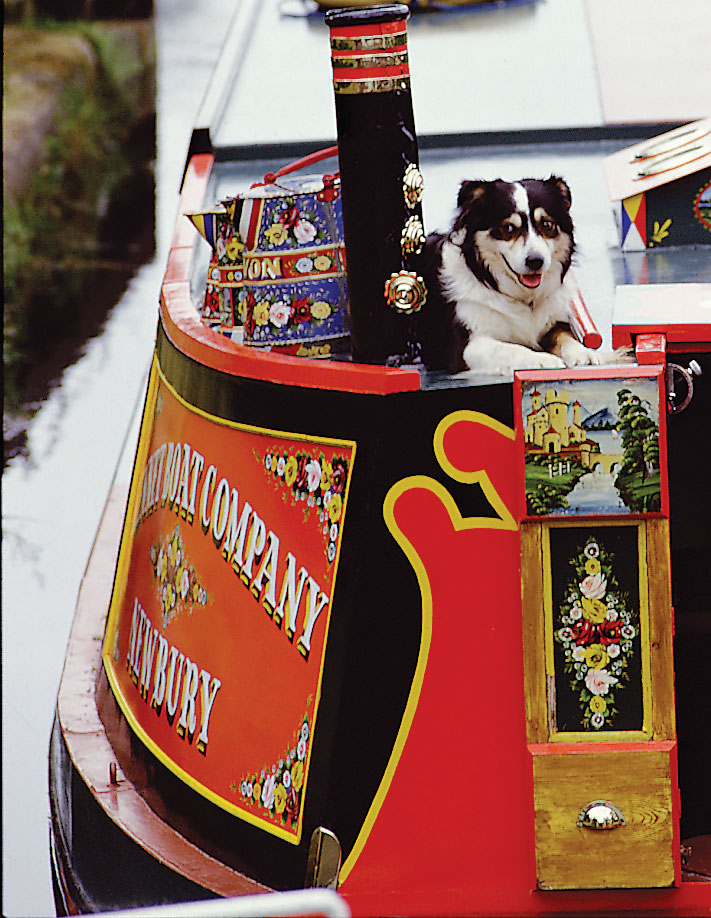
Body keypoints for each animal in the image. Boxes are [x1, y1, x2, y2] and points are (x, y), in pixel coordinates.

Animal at [418, 176, 600, 378]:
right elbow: (510, 349)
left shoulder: (554, 324)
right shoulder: (467, 347)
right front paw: (543, 360)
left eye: (547, 225)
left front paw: (582, 352)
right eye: (509, 228)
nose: (536, 261)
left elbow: (565, 336)